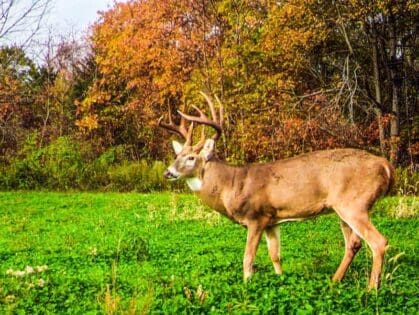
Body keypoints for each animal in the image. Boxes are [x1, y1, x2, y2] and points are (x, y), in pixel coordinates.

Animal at [157, 92, 394, 292]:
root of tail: (386, 165)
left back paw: (371, 289)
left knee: (378, 242)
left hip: (354, 203)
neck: (232, 184)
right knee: (354, 244)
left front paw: (247, 285)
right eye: (177, 155)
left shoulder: (256, 217)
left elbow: (248, 258)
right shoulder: (272, 220)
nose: (168, 172)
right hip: (343, 208)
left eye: (191, 158)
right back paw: (335, 281)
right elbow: (275, 255)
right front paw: (280, 279)